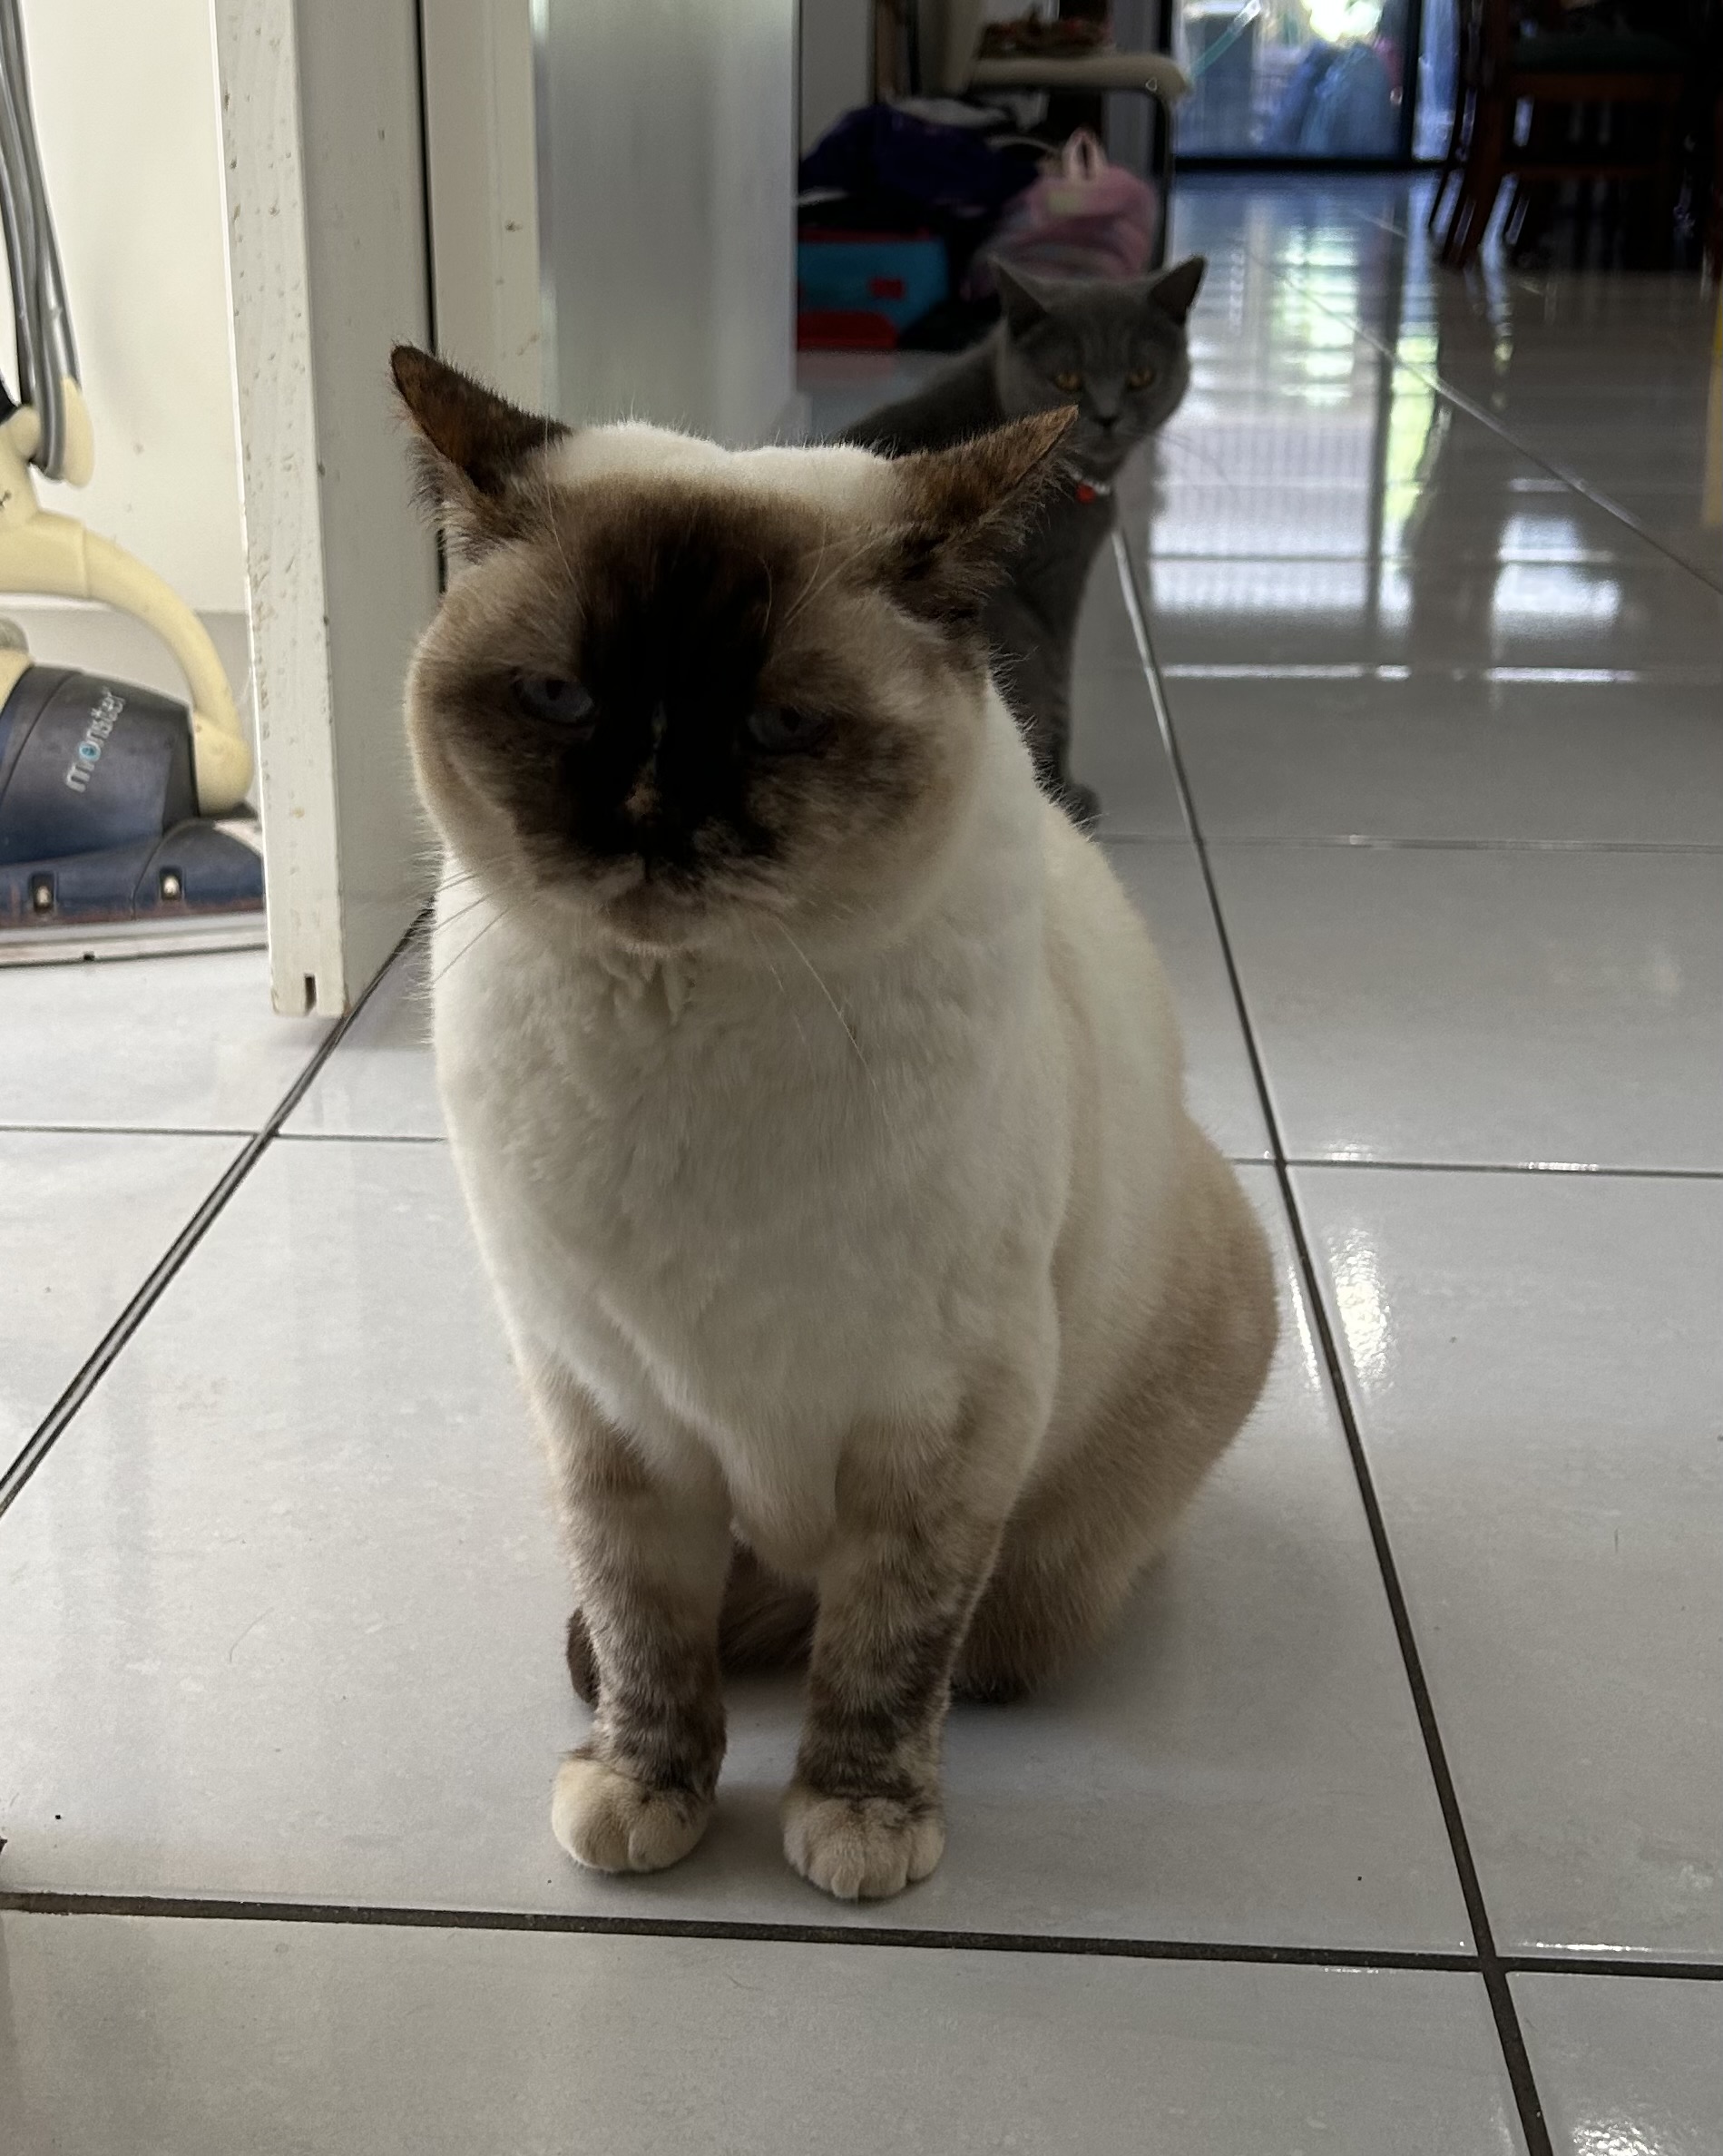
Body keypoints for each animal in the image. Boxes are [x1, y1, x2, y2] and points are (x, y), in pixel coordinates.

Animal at [391, 344, 1276, 1902]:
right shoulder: (607, 1414)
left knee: (972, 1639)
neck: (683, 1028)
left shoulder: (942, 1433)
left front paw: (857, 1818)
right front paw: (645, 1791)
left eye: (777, 727)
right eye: (557, 699)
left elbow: (884, 1649)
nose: (648, 821)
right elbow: (643, 1631)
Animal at [841, 256, 1205, 825]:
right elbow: (1057, 685)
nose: (1106, 416)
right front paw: (1065, 794)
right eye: (1067, 378)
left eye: (1141, 376)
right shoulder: (1051, 582)